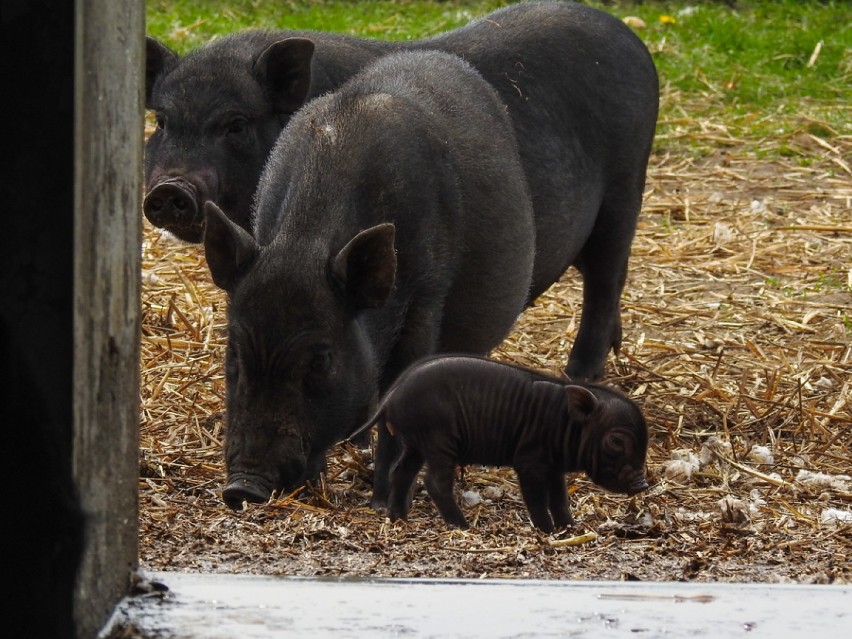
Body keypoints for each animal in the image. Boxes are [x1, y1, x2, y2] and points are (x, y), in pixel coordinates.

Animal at [145, 0, 660, 382]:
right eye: (163, 121)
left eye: (235, 124)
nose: (170, 188)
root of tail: (635, 43)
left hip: (625, 189)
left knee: (606, 278)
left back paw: (579, 374)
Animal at [205, 48, 532, 510]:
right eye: (233, 352)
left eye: (321, 360)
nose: (242, 487)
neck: (304, 244)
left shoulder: (426, 297)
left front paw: (384, 505)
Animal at [352, 358, 644, 532]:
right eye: (616, 441)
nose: (642, 485)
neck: (563, 423)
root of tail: (391, 396)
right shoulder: (530, 463)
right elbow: (537, 499)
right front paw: (548, 531)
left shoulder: (554, 468)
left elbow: (560, 498)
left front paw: (570, 529)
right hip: (438, 441)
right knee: (434, 482)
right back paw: (464, 527)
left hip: (415, 443)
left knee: (400, 472)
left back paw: (399, 519)